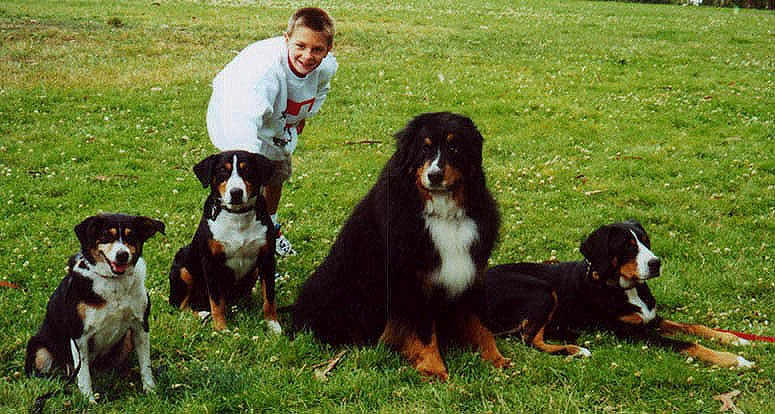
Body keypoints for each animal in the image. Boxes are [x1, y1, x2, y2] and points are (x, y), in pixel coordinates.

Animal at [26, 213, 165, 402]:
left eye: (131, 236)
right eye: (107, 236)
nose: (122, 255)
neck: (114, 282)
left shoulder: (140, 325)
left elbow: (146, 364)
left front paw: (150, 390)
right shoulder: (79, 335)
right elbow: (84, 375)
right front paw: (89, 400)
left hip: (126, 339)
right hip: (39, 349)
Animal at [168, 149, 280, 334]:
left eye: (247, 169)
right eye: (222, 171)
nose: (236, 192)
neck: (237, 217)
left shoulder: (267, 260)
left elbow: (269, 297)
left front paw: (273, 325)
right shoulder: (211, 263)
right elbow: (216, 302)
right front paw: (221, 328)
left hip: (254, 271)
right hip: (183, 269)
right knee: (181, 305)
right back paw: (202, 314)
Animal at [292, 111, 510, 380]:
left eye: (454, 146)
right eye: (425, 148)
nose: (434, 175)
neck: (443, 214)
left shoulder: (471, 274)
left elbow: (481, 324)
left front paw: (496, 358)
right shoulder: (412, 283)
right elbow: (424, 331)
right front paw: (433, 368)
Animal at [488, 220, 756, 368]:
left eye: (646, 241)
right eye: (627, 246)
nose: (656, 263)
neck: (626, 288)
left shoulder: (651, 319)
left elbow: (694, 327)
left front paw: (733, 339)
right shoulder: (632, 333)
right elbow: (686, 343)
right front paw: (733, 360)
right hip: (543, 290)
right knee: (530, 340)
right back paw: (575, 350)